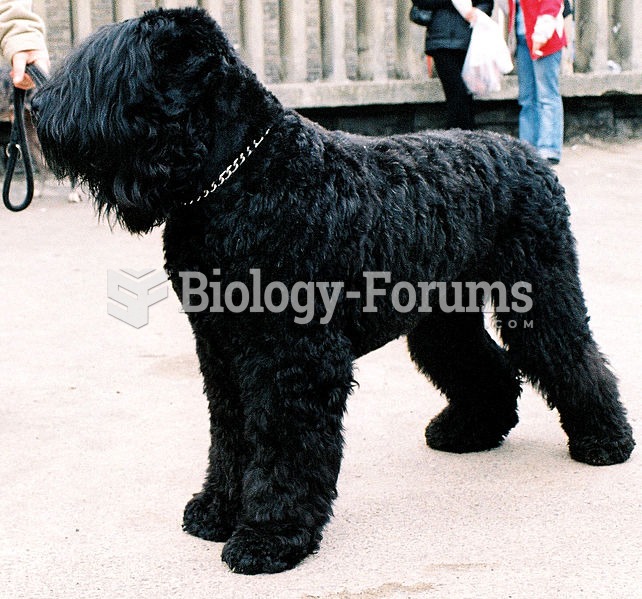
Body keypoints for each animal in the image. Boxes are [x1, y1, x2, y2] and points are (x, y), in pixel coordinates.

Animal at [31, 5, 632, 576]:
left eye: (113, 67)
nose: (37, 106)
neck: (238, 178)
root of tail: (526, 155)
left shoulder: (291, 357)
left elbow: (281, 443)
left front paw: (269, 536)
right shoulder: (222, 350)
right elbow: (230, 434)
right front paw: (217, 511)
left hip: (540, 294)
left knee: (572, 356)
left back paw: (606, 441)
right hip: (443, 317)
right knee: (488, 365)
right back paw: (469, 429)